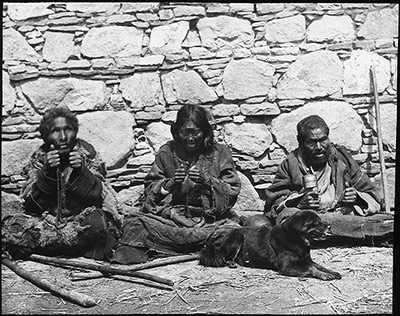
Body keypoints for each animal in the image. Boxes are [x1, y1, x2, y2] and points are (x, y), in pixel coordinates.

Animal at [198, 210, 342, 282]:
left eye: (321, 221)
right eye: (315, 223)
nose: (330, 226)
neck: (296, 239)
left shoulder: (307, 260)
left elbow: (320, 266)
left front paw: (331, 271)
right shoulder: (287, 267)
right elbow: (311, 269)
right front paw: (323, 275)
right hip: (237, 236)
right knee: (225, 256)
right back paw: (231, 262)